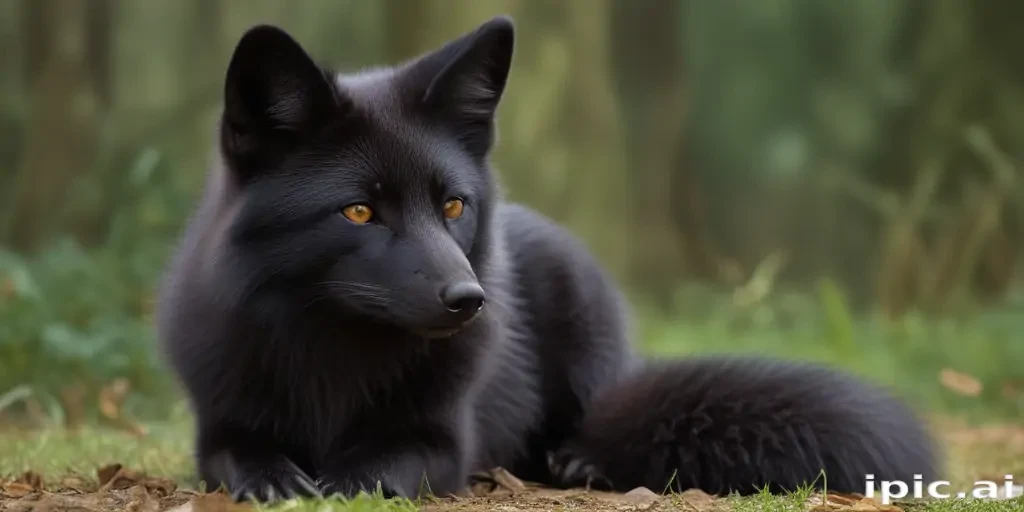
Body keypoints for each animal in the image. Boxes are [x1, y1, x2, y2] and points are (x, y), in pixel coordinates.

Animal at [156, 15, 938, 502]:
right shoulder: (217, 422)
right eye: (358, 211)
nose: (469, 300)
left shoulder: (441, 441)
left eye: (453, 206)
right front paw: (273, 476)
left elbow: (382, 463)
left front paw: (345, 479)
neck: (336, 355)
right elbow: (233, 454)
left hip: (586, 327)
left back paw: (581, 460)